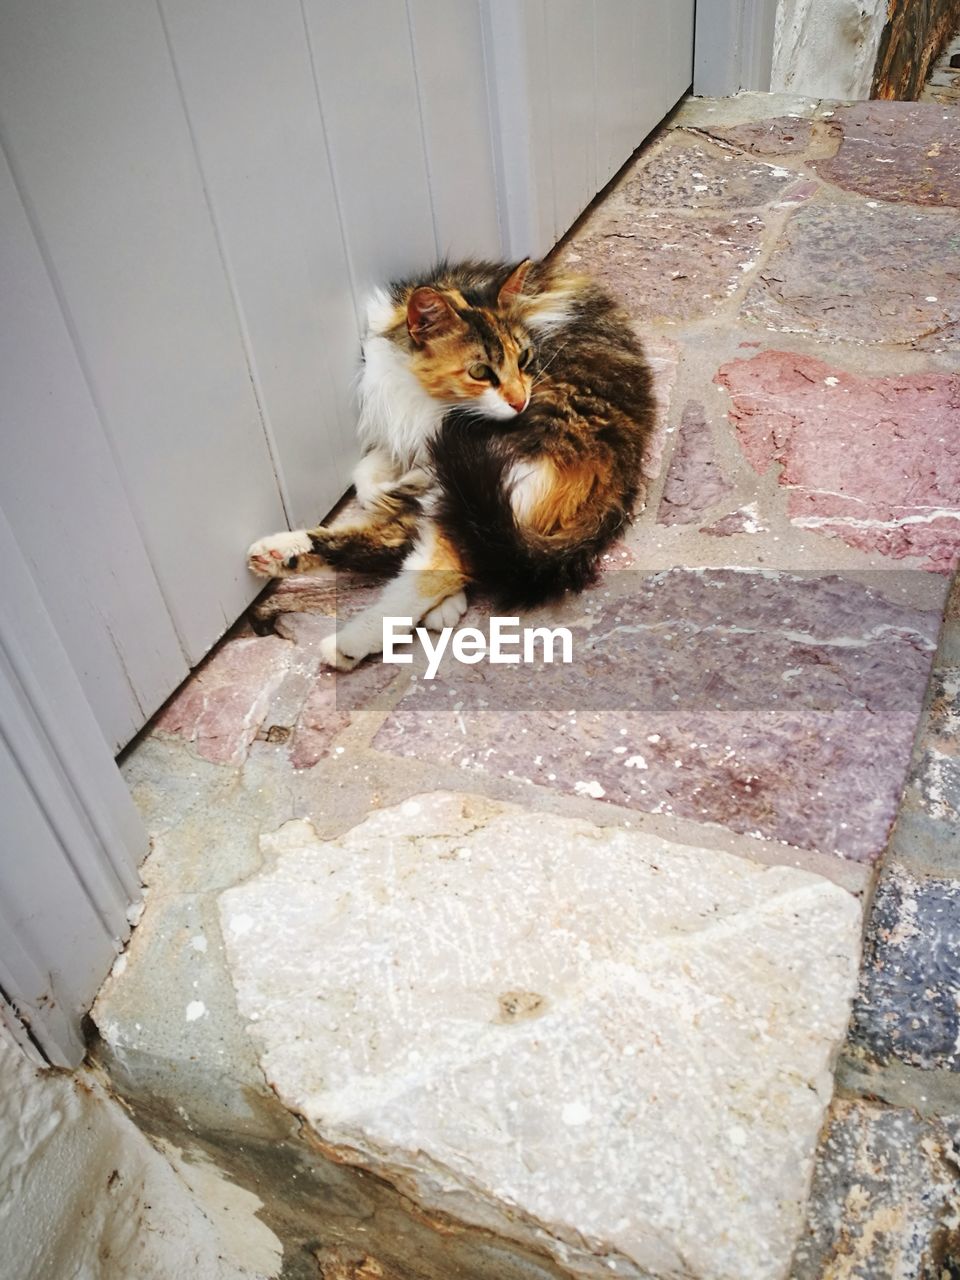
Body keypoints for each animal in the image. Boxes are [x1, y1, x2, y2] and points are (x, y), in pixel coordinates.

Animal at [244, 257, 660, 670]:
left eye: (524, 359)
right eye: (480, 372)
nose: (520, 401)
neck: (424, 397)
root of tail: (618, 472)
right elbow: (366, 479)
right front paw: (392, 492)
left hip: (492, 477)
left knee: (444, 561)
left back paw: (349, 641)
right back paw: (281, 553)